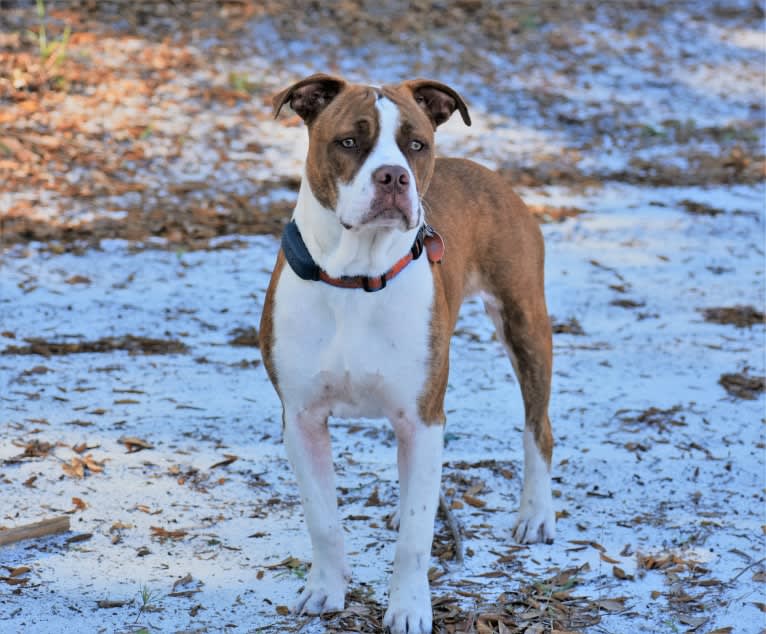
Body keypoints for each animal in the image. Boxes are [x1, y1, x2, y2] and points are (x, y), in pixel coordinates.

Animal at [260, 74, 556, 632]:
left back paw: (535, 514)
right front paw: (325, 590)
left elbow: (414, 540)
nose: (395, 177)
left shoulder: (422, 416)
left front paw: (409, 608)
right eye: (349, 142)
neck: (354, 276)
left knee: (538, 428)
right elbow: (323, 518)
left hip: (526, 325)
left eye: (416, 145)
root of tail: (487, 173)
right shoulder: (303, 419)